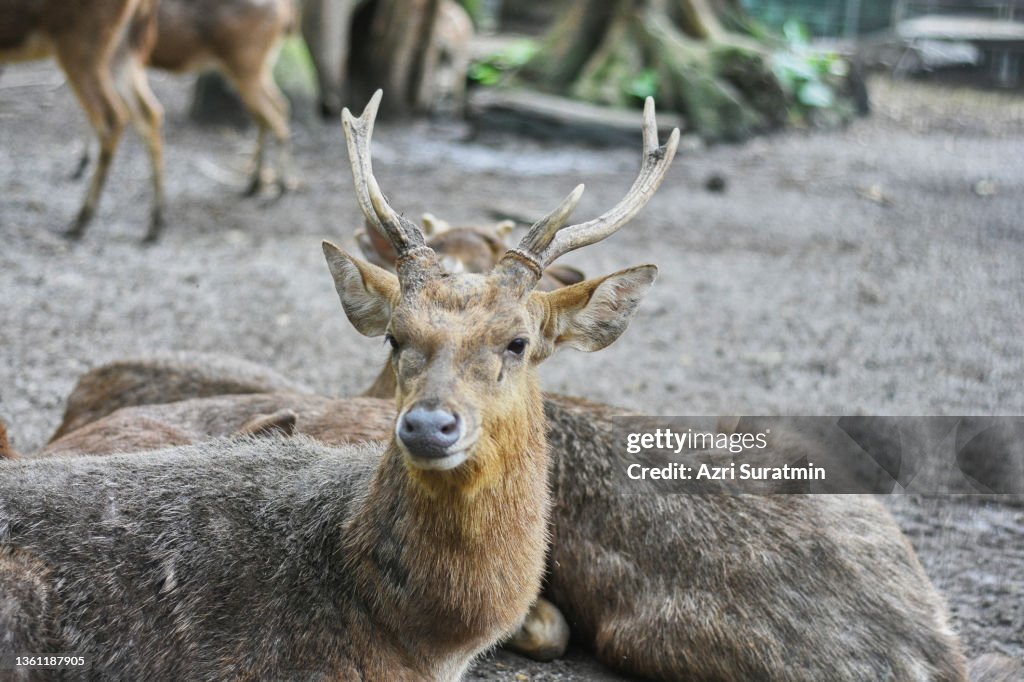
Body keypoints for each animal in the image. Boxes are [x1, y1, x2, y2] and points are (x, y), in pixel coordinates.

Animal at [0, 0, 166, 240]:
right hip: (121, 50)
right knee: (150, 112)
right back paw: (155, 223)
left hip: (83, 42)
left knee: (113, 116)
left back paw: (81, 220)